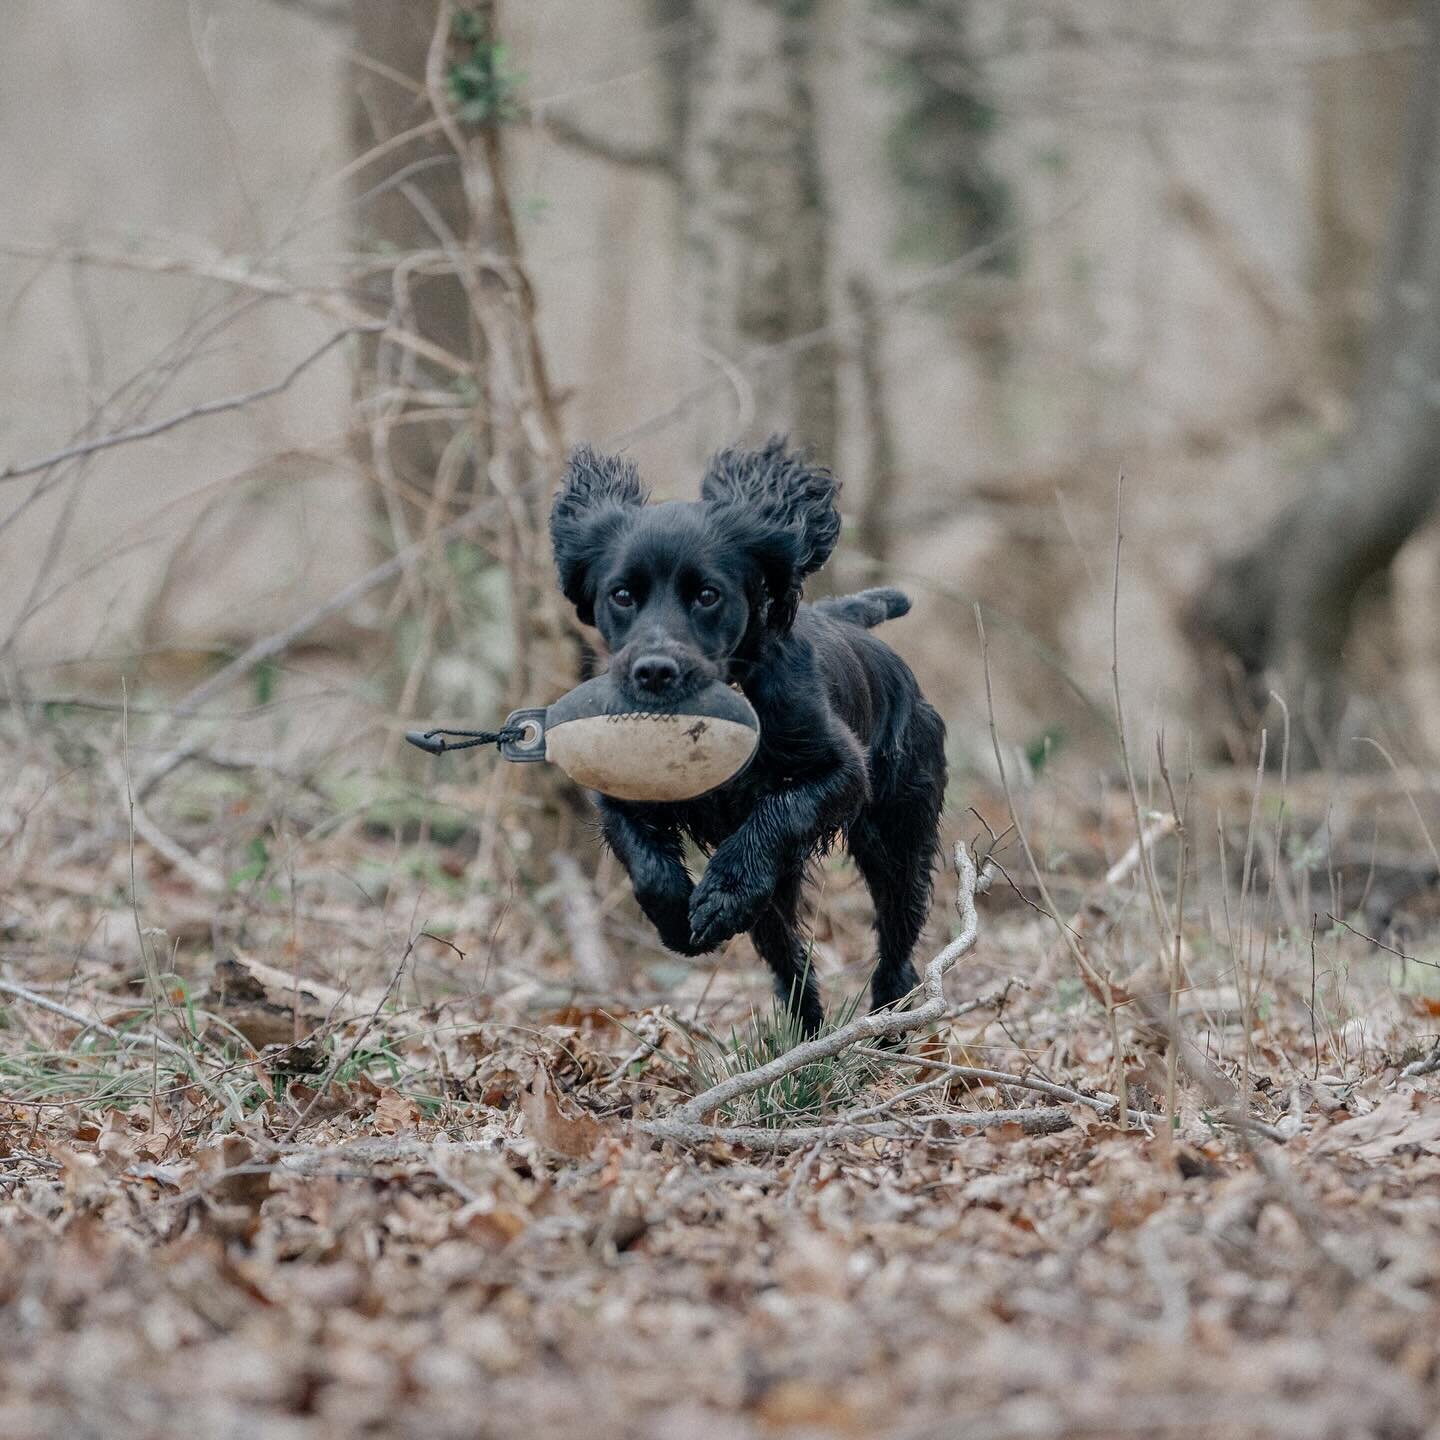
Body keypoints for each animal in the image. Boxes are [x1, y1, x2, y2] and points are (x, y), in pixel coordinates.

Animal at [547, 432, 944, 1031]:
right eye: (622, 595)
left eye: (707, 595)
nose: (654, 672)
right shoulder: (619, 786)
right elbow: (644, 858)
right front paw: (676, 916)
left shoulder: (842, 771)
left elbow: (777, 811)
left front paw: (722, 894)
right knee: (788, 958)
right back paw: (804, 1035)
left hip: (898, 836)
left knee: (897, 941)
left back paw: (885, 1026)